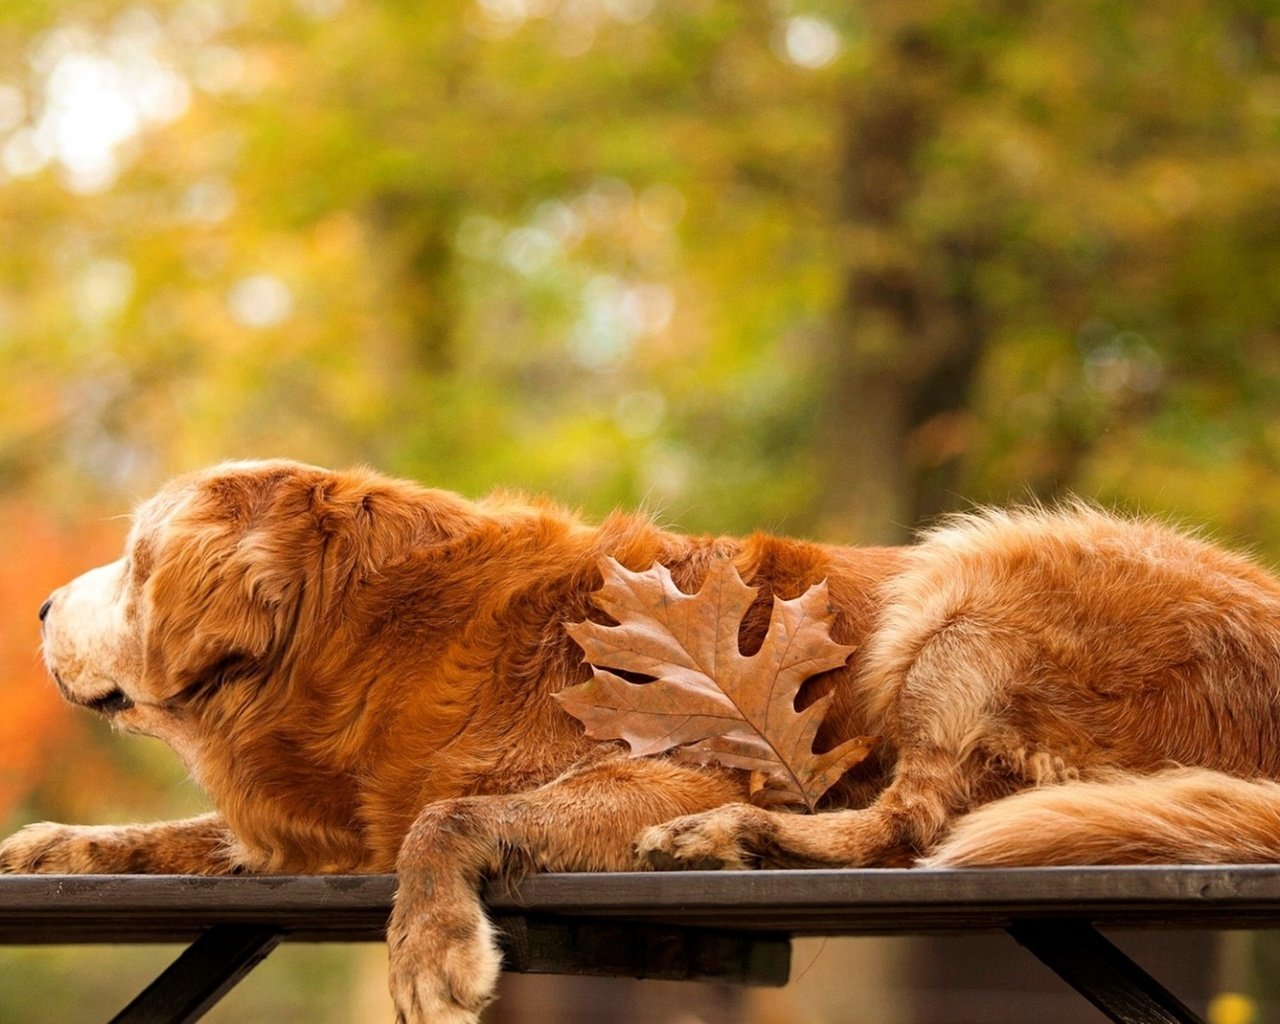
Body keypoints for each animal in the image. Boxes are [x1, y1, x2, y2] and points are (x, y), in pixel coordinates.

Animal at [2, 460, 1280, 1018]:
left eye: (131, 559)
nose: (42, 607)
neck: (365, 632)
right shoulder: (319, 830)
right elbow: (179, 832)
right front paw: (56, 842)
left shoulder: (669, 764)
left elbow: (444, 817)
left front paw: (428, 949)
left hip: (969, 576)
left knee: (907, 823)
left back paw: (732, 839)